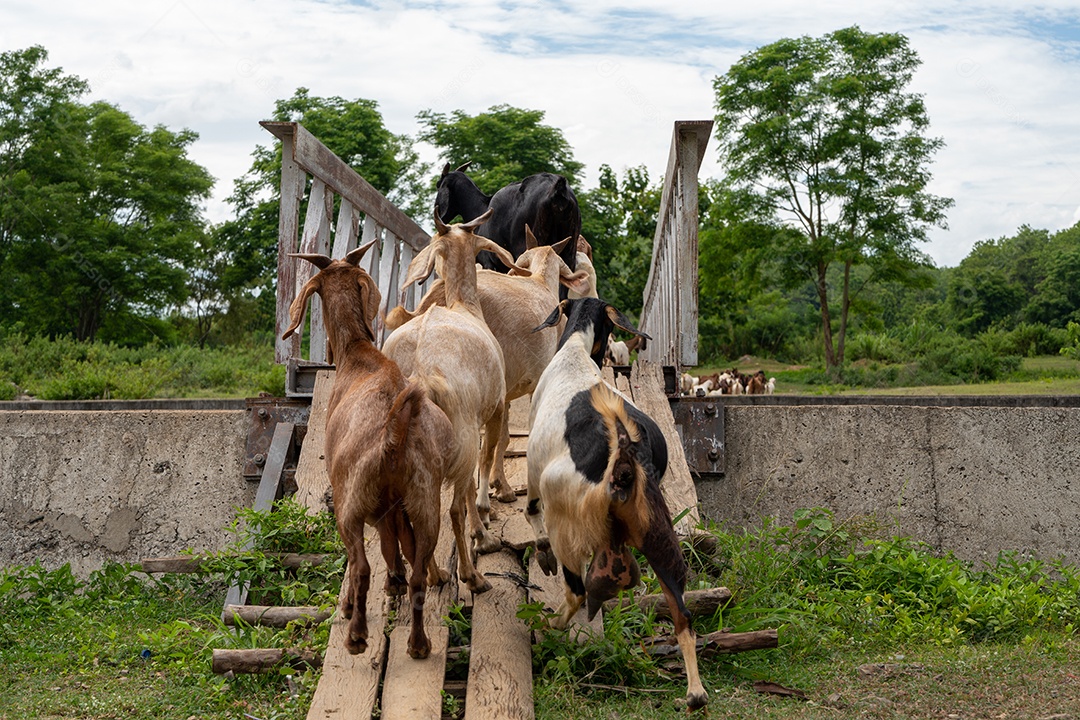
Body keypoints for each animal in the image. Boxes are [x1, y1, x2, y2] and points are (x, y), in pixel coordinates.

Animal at [384, 208, 522, 561]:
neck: (464, 305)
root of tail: (420, 368)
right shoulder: (494, 409)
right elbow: (487, 460)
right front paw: (485, 515)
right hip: (462, 432)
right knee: (455, 502)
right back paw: (480, 546)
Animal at [522, 297, 708, 708]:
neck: (575, 351)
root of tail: (624, 460)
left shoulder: (533, 465)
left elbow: (529, 510)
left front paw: (539, 551)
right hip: (660, 536)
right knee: (683, 614)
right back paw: (695, 692)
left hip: (565, 519)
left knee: (576, 590)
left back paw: (547, 625)